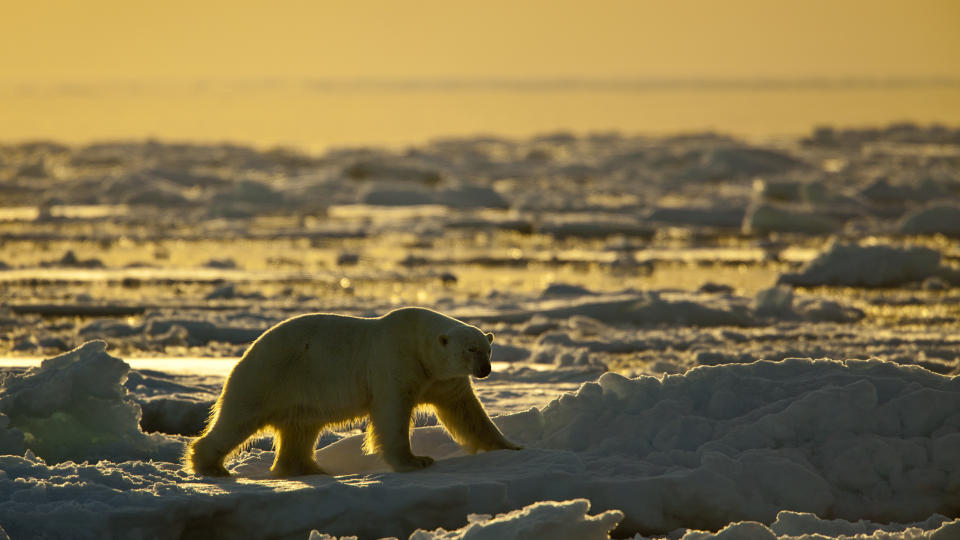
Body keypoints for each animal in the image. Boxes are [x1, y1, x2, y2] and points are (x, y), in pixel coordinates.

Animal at [185, 308, 520, 476]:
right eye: (470, 349)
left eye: (488, 349)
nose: (485, 370)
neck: (418, 341)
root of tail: (247, 352)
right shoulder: (394, 361)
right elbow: (392, 413)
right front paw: (416, 460)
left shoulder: (442, 379)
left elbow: (467, 412)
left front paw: (510, 446)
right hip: (268, 377)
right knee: (237, 421)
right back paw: (210, 466)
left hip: (300, 394)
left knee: (300, 429)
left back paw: (309, 468)